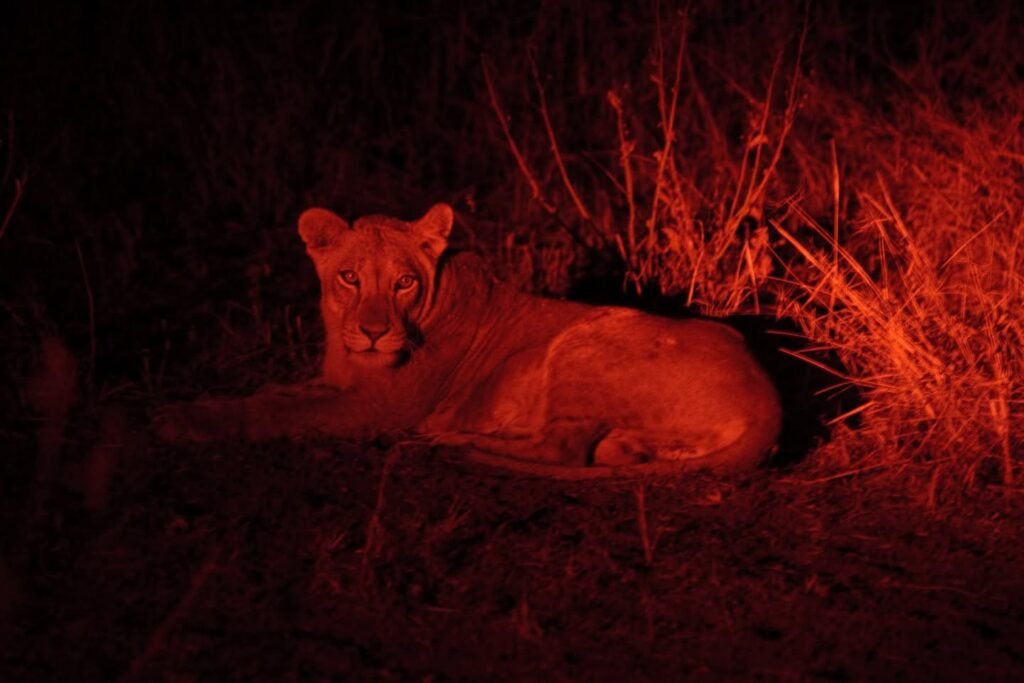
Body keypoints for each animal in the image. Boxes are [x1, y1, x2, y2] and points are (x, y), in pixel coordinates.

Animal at [156, 203, 782, 478]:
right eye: (350, 276)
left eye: (404, 281)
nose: (376, 332)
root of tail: (768, 398)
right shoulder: (332, 382)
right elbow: (274, 391)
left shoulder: (375, 407)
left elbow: (267, 412)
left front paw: (178, 420)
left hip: (583, 343)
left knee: (561, 450)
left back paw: (450, 442)